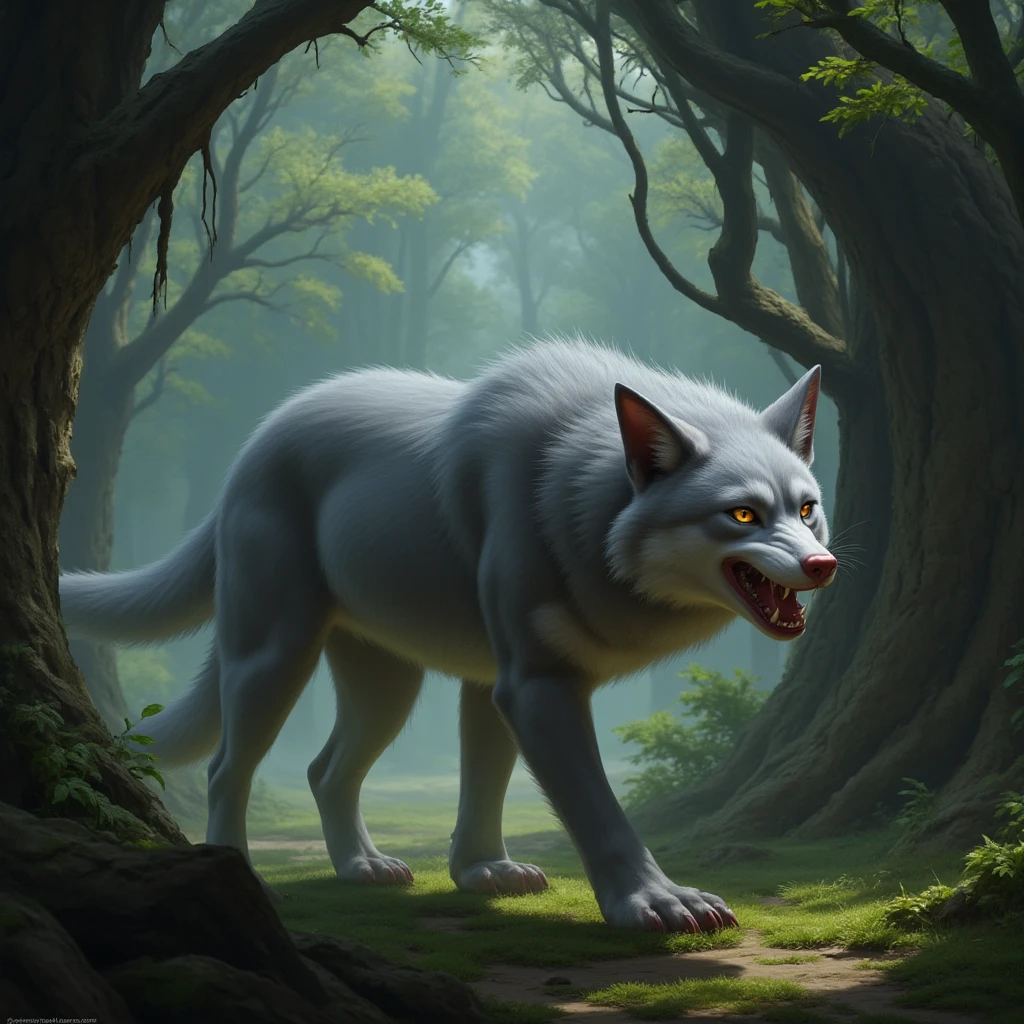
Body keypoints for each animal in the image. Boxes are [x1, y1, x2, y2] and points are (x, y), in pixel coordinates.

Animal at [60, 338, 836, 933]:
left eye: (805, 509)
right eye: (741, 515)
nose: (823, 565)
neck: (577, 507)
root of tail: (252, 446)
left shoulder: (494, 684)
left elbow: (483, 785)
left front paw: (483, 871)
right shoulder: (536, 687)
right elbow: (598, 809)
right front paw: (657, 903)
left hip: (388, 688)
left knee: (324, 770)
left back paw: (364, 868)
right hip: (273, 659)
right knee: (229, 767)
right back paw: (238, 867)